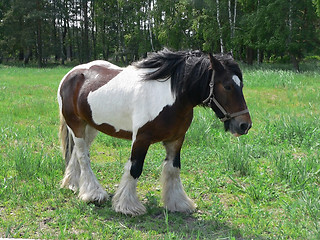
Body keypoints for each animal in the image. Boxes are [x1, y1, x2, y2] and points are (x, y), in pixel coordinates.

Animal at [57, 48, 252, 216]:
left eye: (241, 85)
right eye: (227, 86)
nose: (245, 125)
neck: (171, 98)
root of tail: (70, 75)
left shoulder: (176, 139)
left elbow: (173, 169)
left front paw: (178, 203)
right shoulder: (141, 139)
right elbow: (135, 168)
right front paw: (127, 206)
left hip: (90, 127)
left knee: (76, 154)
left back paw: (73, 185)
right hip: (77, 125)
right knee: (83, 156)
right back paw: (93, 194)